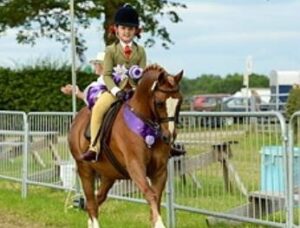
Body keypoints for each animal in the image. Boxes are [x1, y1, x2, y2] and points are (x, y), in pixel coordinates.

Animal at [68, 64, 183, 228]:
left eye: (179, 102)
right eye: (160, 103)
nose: (169, 136)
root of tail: (77, 119)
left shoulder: (160, 171)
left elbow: (157, 197)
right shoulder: (136, 166)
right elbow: (150, 194)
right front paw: (159, 223)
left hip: (109, 174)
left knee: (97, 199)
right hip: (85, 169)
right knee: (91, 202)